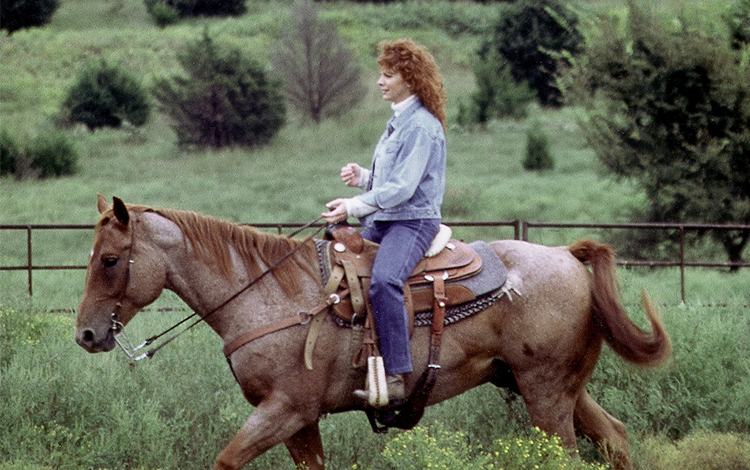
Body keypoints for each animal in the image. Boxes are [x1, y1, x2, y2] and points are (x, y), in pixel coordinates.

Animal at [76, 196, 672, 470]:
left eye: (109, 259)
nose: (85, 334)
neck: (268, 295)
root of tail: (568, 255)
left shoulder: (285, 409)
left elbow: (226, 460)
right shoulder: (301, 421)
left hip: (545, 393)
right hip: (554, 387)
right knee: (616, 436)